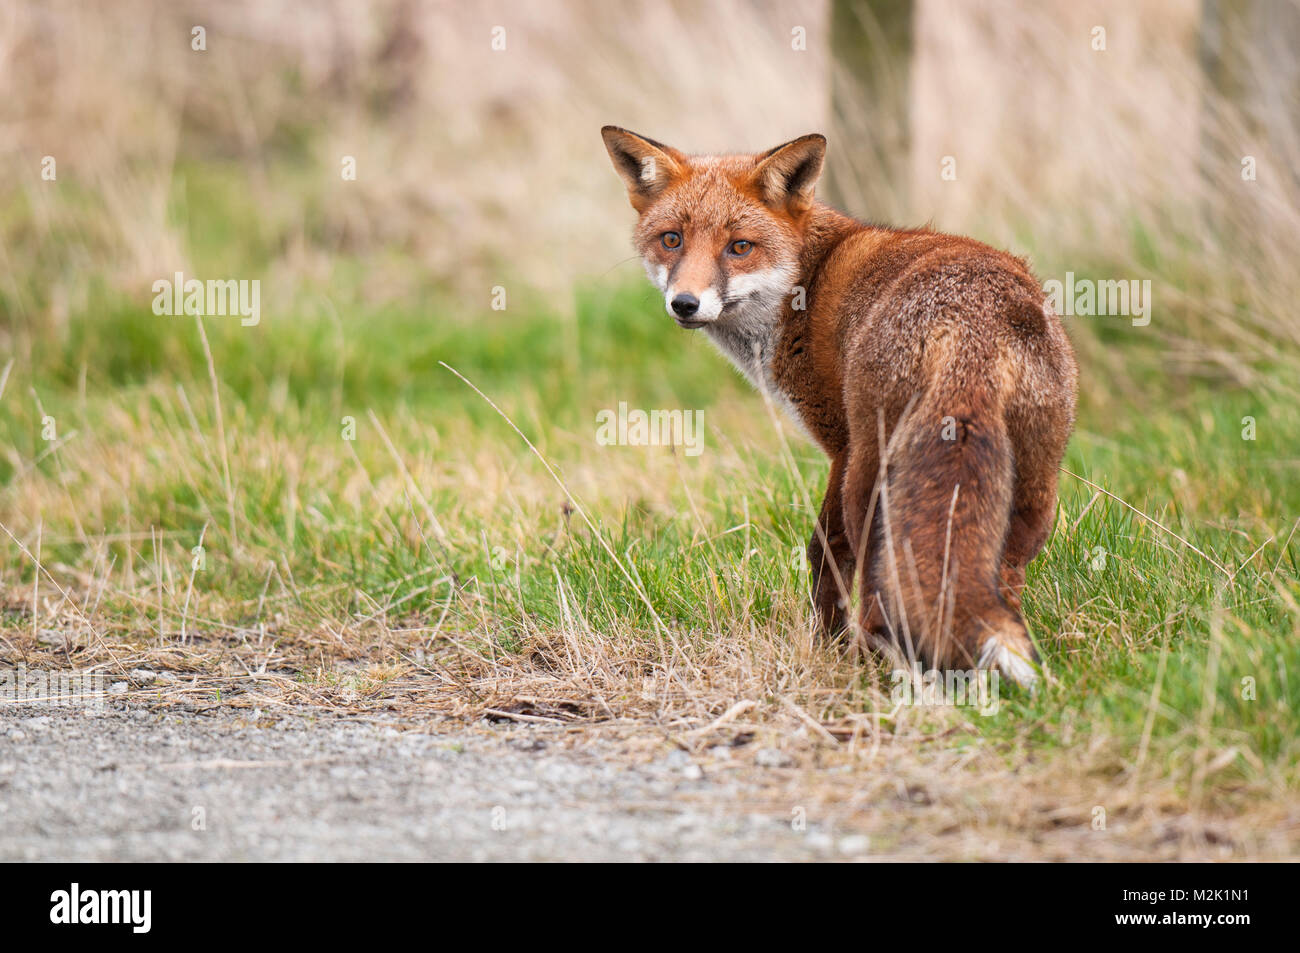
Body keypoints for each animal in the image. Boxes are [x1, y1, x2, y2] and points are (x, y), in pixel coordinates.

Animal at [603, 130, 1081, 686]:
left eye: (739, 247)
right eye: (672, 239)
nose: (684, 303)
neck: (803, 286)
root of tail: (968, 331)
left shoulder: (840, 443)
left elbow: (824, 548)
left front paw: (826, 643)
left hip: (870, 476)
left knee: (878, 579)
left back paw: (876, 660)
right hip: (1033, 488)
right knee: (1002, 576)